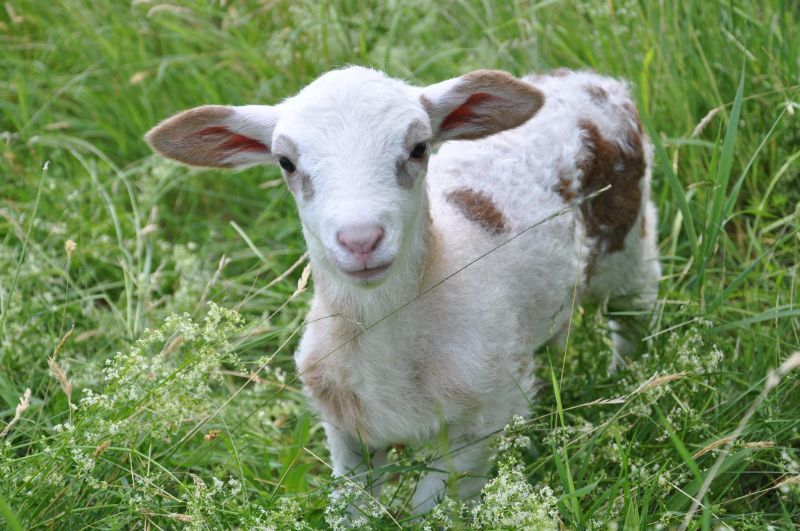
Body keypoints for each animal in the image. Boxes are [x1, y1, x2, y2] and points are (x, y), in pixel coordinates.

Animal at [145, 66, 661, 514]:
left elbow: (429, 510)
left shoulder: (480, 421)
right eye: (286, 162)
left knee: (634, 316)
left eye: (418, 148)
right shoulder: (345, 427)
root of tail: (590, 81)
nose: (360, 240)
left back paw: (628, 381)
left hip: (628, 248)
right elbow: (352, 508)